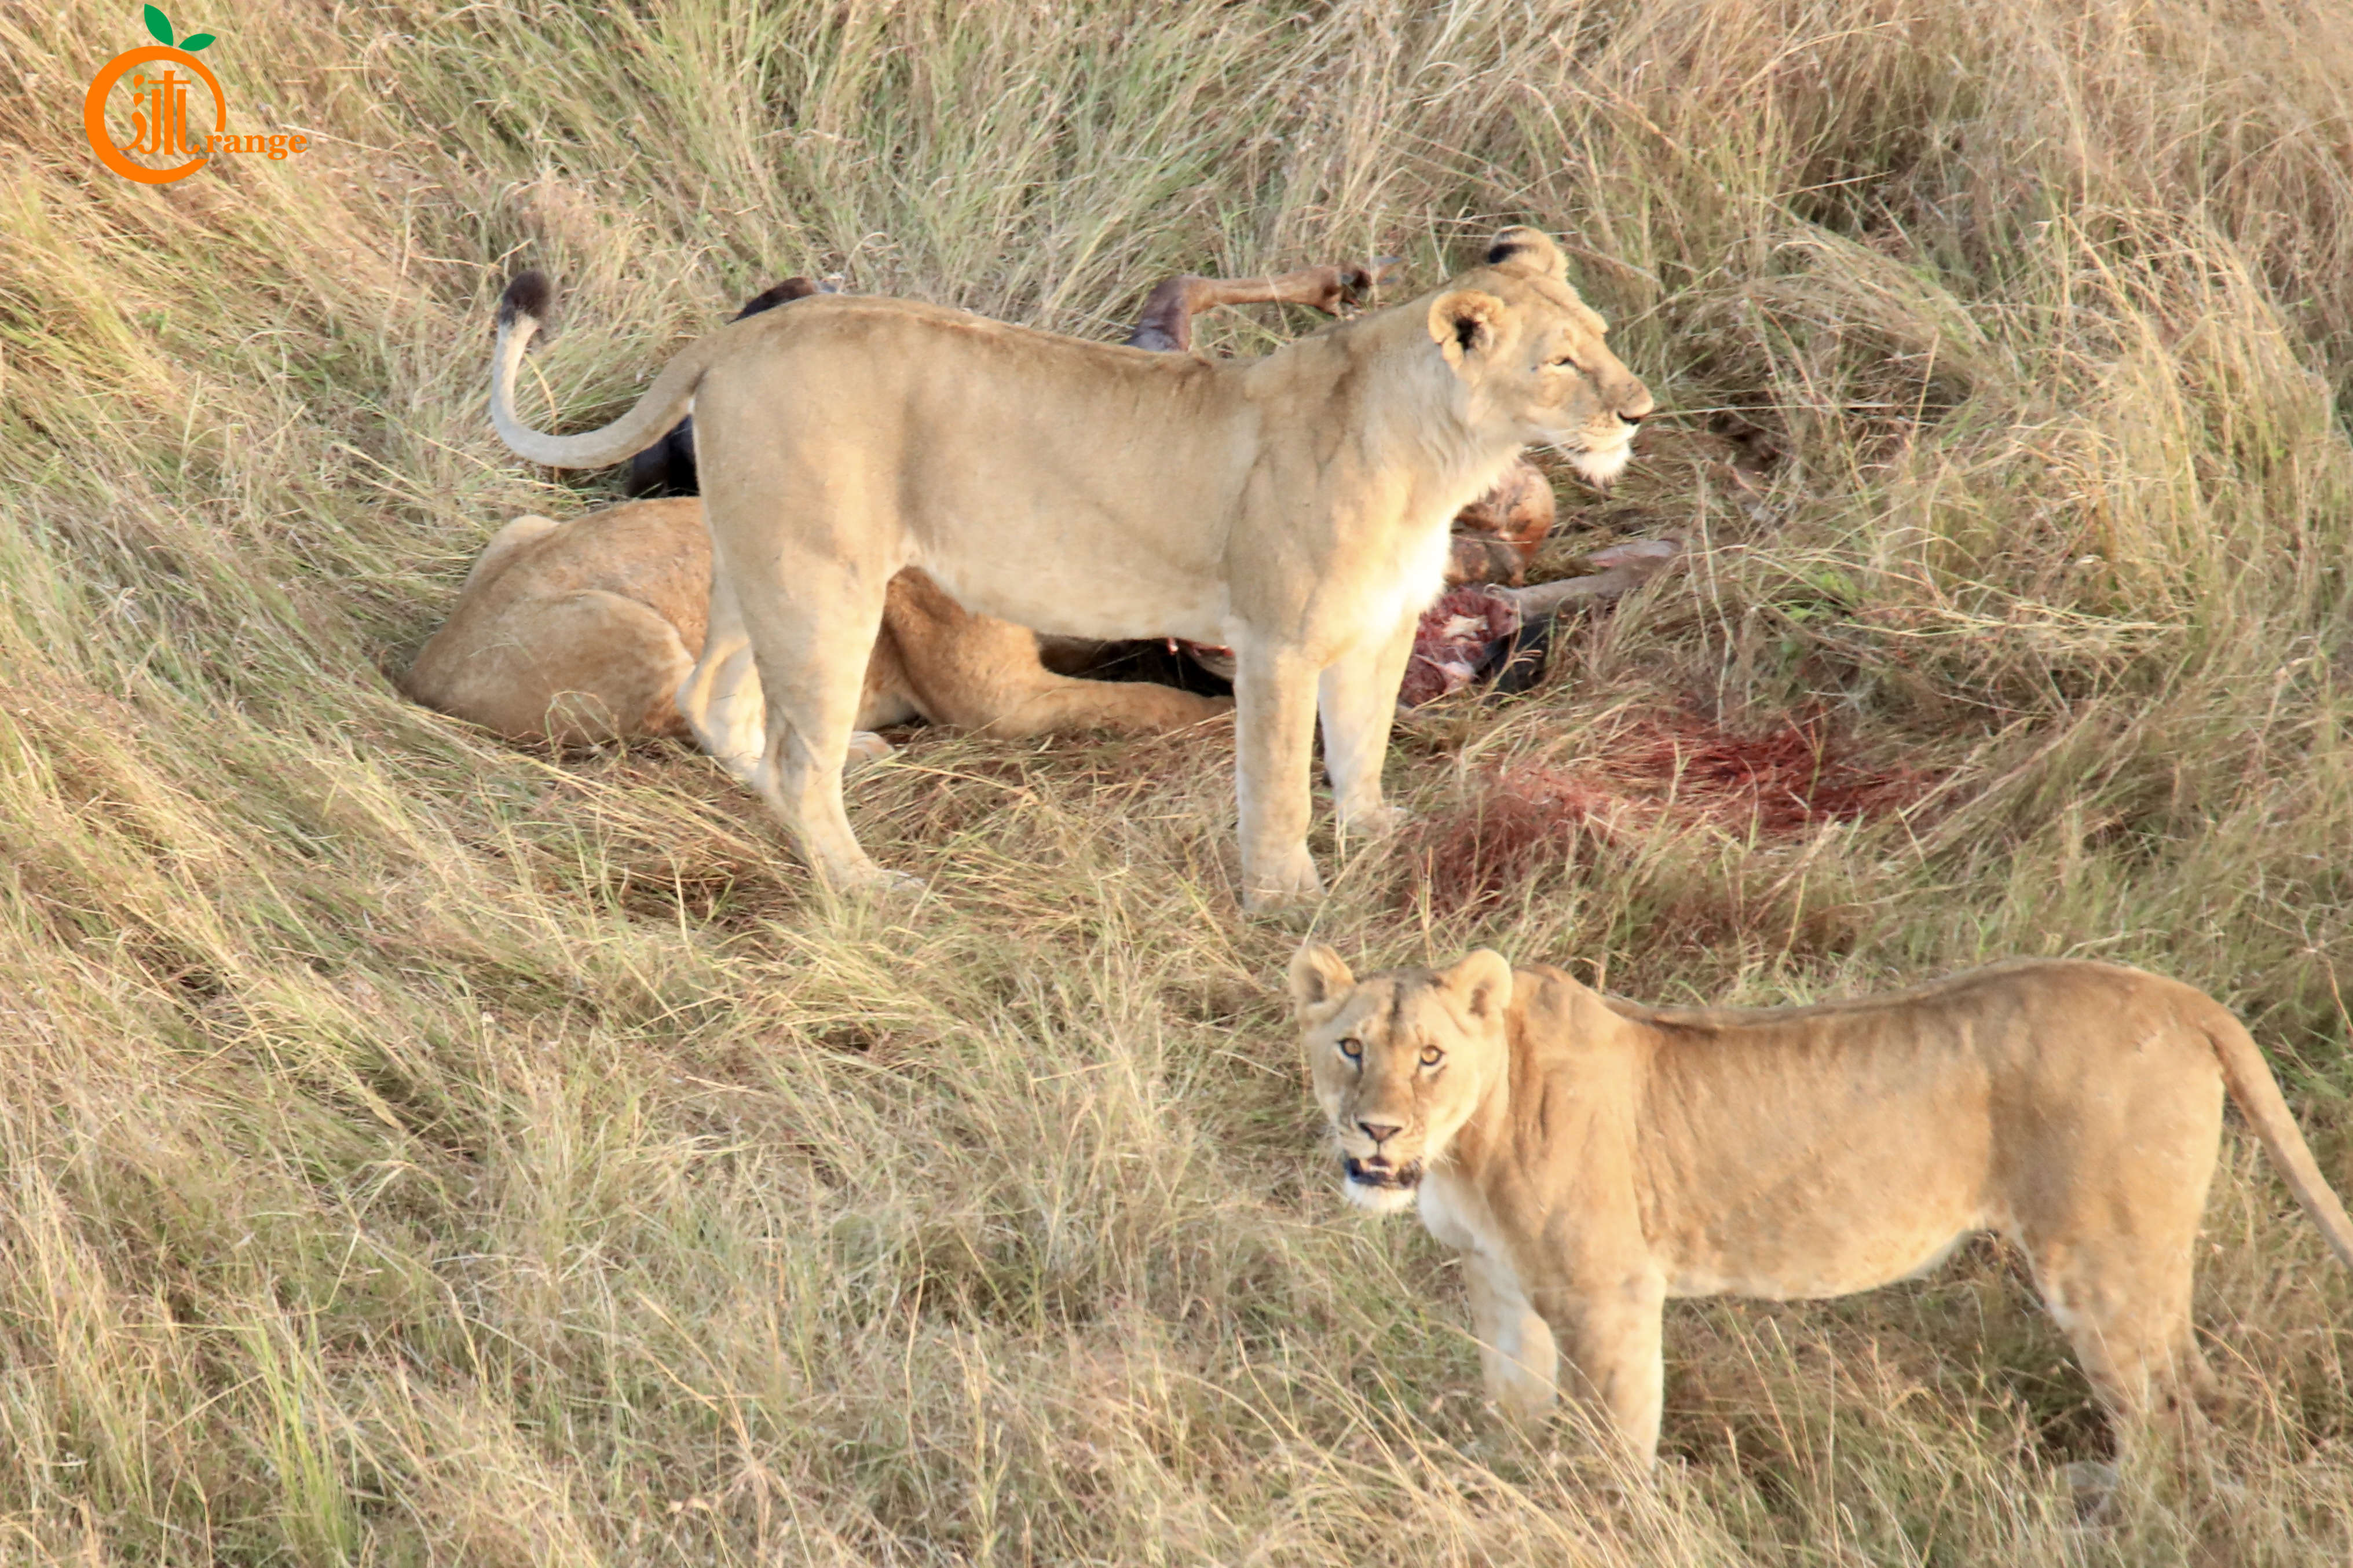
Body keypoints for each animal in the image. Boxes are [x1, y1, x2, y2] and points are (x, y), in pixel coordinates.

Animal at [1289, 945, 2353, 1476]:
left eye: (1429, 1055)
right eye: (1349, 1047)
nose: (1376, 1131)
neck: (1466, 1145)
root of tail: (2179, 998)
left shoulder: (1608, 1294)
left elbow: (1615, 1441)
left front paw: (1604, 1518)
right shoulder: (1499, 1284)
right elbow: (1512, 1411)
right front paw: (1501, 1492)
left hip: (2100, 1266)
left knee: (2157, 1420)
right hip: (2137, 1269)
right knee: (2201, 1391)